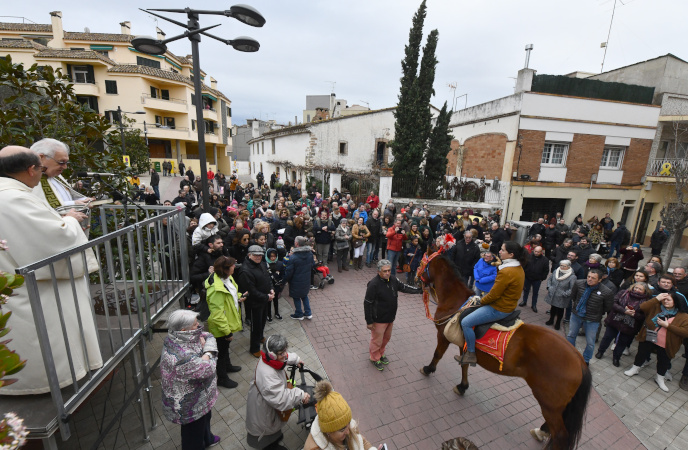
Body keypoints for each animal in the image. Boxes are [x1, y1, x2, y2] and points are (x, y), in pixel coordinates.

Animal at [416, 255, 592, 450]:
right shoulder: (465, 345)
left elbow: (437, 355)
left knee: (560, 434)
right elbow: (464, 365)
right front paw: (462, 386)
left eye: (423, 262)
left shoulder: (443, 336)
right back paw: (540, 431)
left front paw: (428, 369)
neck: (455, 302)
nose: (416, 278)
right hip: (557, 406)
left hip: (549, 403)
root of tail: (579, 360)